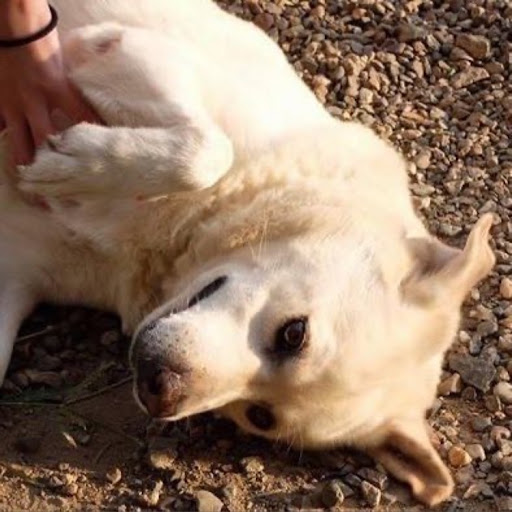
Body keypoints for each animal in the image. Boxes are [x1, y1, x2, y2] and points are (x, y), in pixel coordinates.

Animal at [0, 0, 496, 504]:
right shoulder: (132, 51)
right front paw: (72, 166)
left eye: (259, 416)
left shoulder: (17, 278)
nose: (158, 390)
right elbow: (207, 151)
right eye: (294, 334)